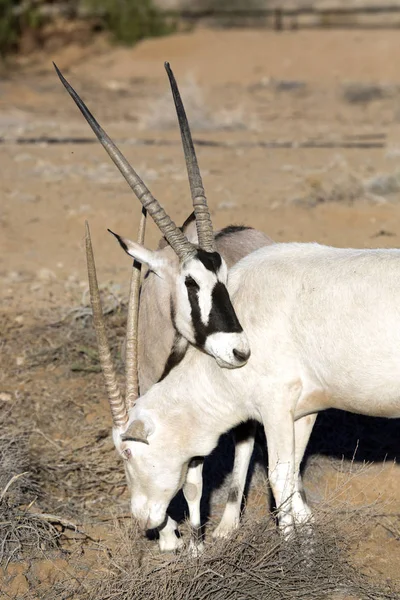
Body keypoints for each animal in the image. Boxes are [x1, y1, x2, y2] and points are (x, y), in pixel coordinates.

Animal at [54, 64, 274, 548]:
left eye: (225, 278)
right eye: (191, 282)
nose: (240, 350)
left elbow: (192, 478)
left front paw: (195, 540)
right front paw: (172, 534)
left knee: (247, 439)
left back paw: (228, 524)